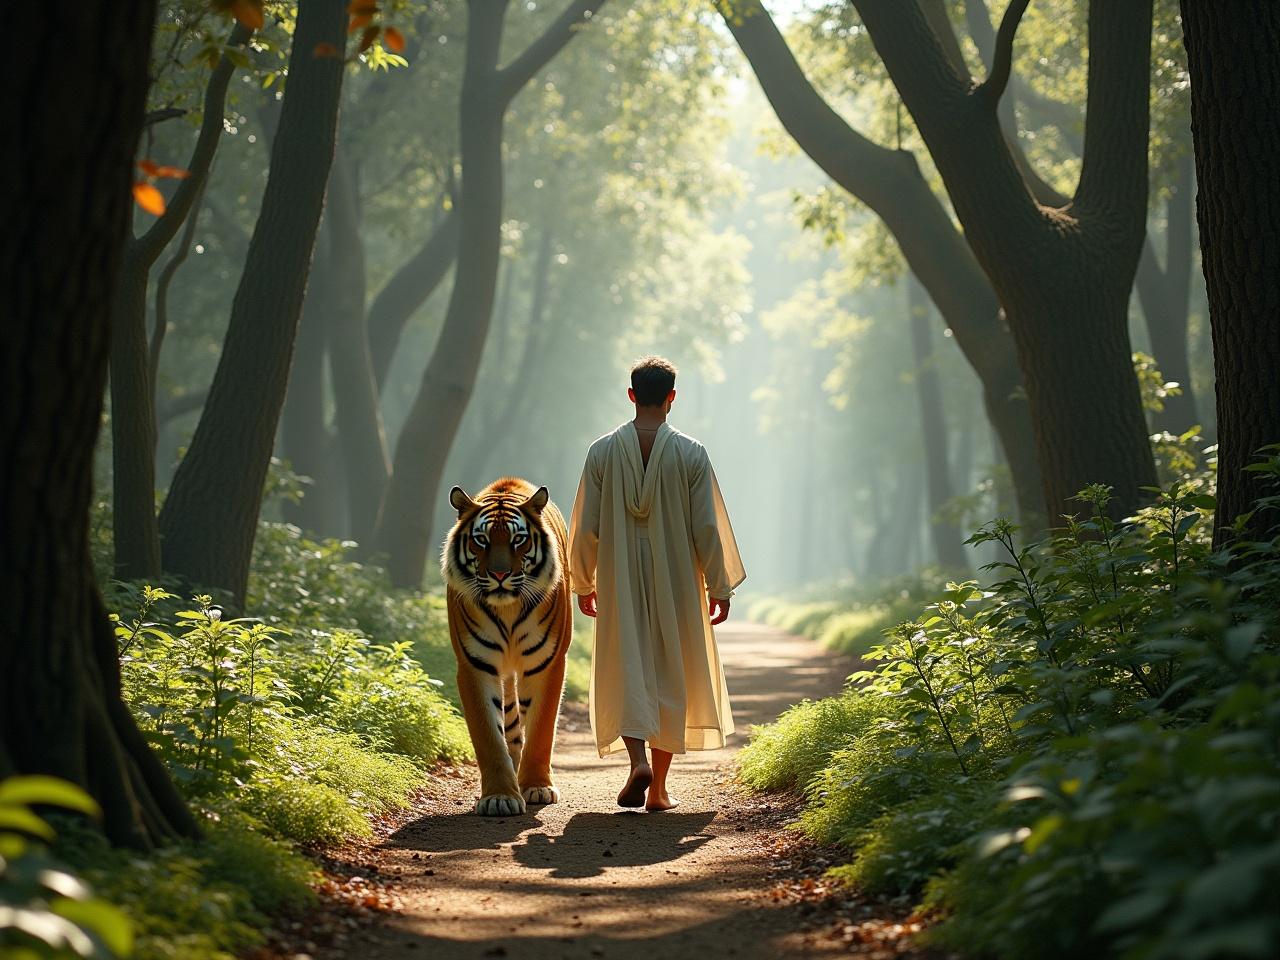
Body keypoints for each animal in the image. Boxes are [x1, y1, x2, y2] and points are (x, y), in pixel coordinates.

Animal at [445, 478, 576, 814]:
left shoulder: (547, 664)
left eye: (519, 540)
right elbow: (489, 737)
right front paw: (500, 796)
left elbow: (542, 730)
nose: (500, 574)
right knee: (511, 724)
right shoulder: (474, 666)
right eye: (481, 540)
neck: (508, 610)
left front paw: (537, 787)